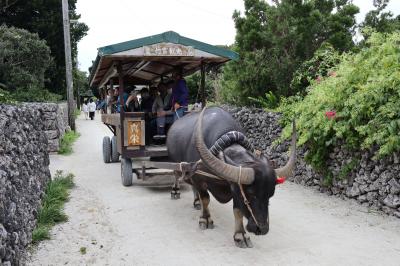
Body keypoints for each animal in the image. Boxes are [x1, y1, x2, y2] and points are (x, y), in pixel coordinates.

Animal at [167, 107, 296, 248]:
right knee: (176, 175)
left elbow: (237, 210)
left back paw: (196, 202)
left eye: (270, 195)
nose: (262, 229)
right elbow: (206, 199)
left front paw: (240, 235)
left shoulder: (234, 187)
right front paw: (205, 219)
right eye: (251, 193)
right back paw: (175, 192)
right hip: (177, 163)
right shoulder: (199, 177)